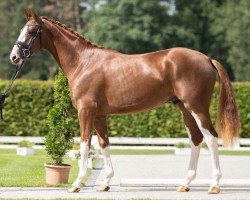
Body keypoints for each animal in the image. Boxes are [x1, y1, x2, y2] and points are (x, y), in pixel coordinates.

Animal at [10, 9, 240, 194]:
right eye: (21, 30)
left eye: (31, 31)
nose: (14, 57)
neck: (83, 62)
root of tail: (207, 59)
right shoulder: (99, 115)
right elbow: (104, 144)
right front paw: (105, 183)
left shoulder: (85, 112)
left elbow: (84, 145)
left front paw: (76, 184)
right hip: (184, 108)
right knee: (196, 140)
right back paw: (185, 184)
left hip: (197, 107)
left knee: (211, 138)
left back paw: (214, 185)